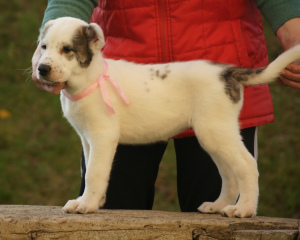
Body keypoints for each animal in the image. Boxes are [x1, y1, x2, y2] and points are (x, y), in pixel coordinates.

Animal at [36, 16, 298, 218]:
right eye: (44, 47)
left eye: (67, 49)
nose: (41, 69)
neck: (90, 79)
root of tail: (227, 72)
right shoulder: (87, 139)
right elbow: (90, 168)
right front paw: (89, 200)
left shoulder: (102, 136)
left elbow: (94, 172)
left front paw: (86, 204)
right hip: (213, 136)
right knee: (229, 175)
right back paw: (218, 205)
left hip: (216, 131)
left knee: (247, 165)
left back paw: (244, 209)